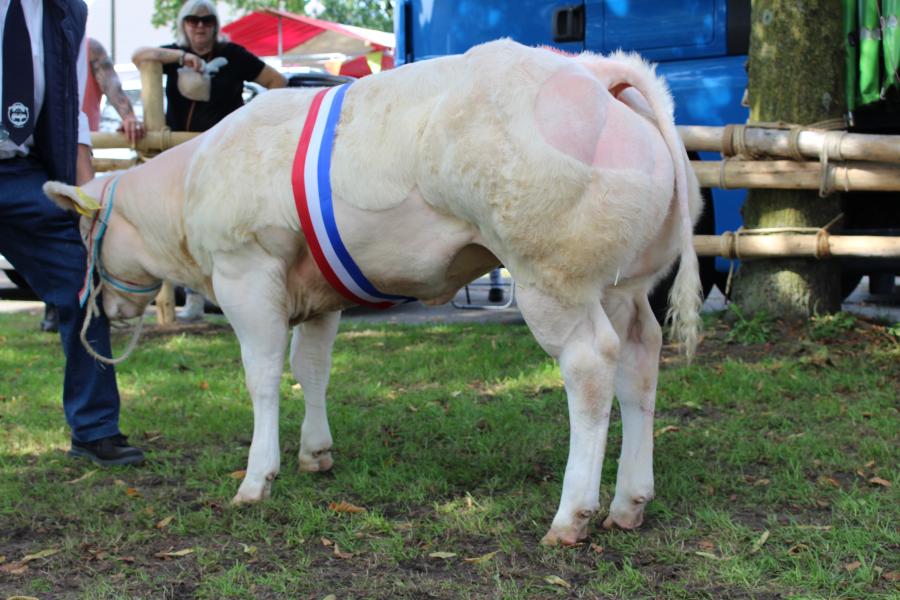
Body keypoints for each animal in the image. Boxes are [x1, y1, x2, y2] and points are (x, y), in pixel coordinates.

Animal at [44, 39, 704, 548]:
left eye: (82, 233)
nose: (98, 309)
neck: (191, 182)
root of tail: (597, 71)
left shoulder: (246, 274)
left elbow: (262, 377)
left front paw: (257, 479)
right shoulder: (319, 294)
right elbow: (311, 370)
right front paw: (315, 454)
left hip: (553, 274)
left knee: (591, 365)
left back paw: (572, 516)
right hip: (620, 283)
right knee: (640, 360)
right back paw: (629, 503)